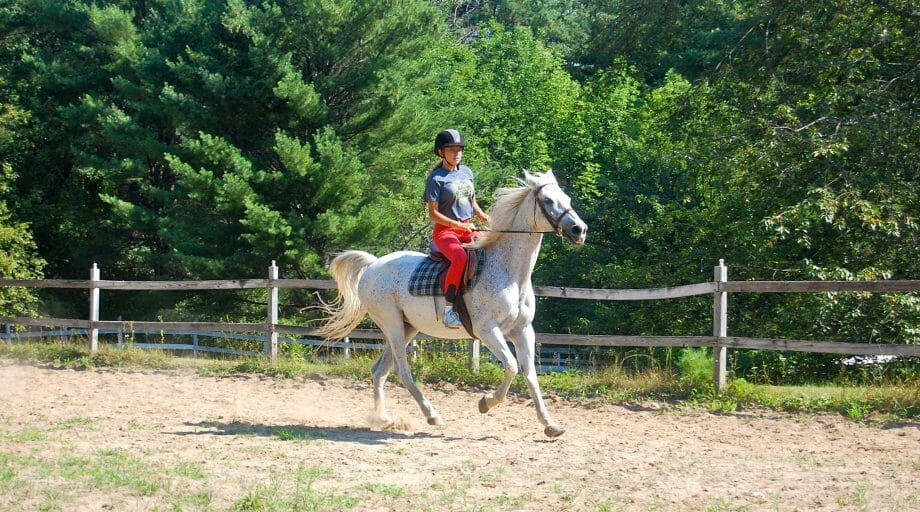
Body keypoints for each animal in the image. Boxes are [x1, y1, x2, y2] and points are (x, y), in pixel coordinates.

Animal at [316, 170, 587, 438]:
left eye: (567, 198)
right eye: (548, 201)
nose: (579, 230)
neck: (508, 272)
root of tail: (373, 265)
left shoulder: (522, 331)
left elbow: (530, 373)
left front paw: (550, 424)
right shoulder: (487, 330)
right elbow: (511, 366)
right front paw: (485, 403)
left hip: (406, 328)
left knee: (379, 371)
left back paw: (383, 418)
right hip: (392, 325)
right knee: (402, 371)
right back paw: (431, 415)